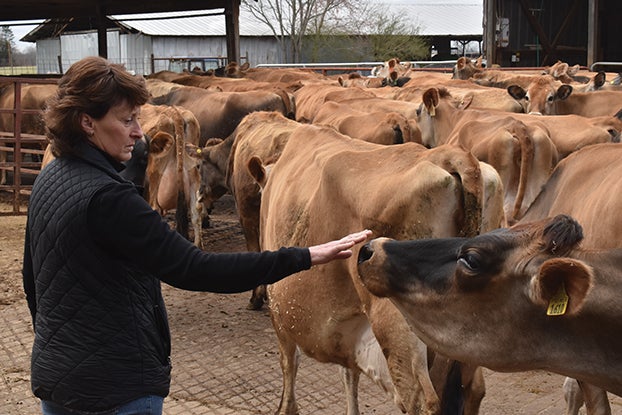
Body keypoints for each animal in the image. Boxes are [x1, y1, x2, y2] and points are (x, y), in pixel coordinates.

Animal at [247, 124, 508, 415]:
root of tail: (451, 155)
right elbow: (348, 375)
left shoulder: (279, 313)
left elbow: (289, 366)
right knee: (473, 388)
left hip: (396, 323)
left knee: (420, 399)